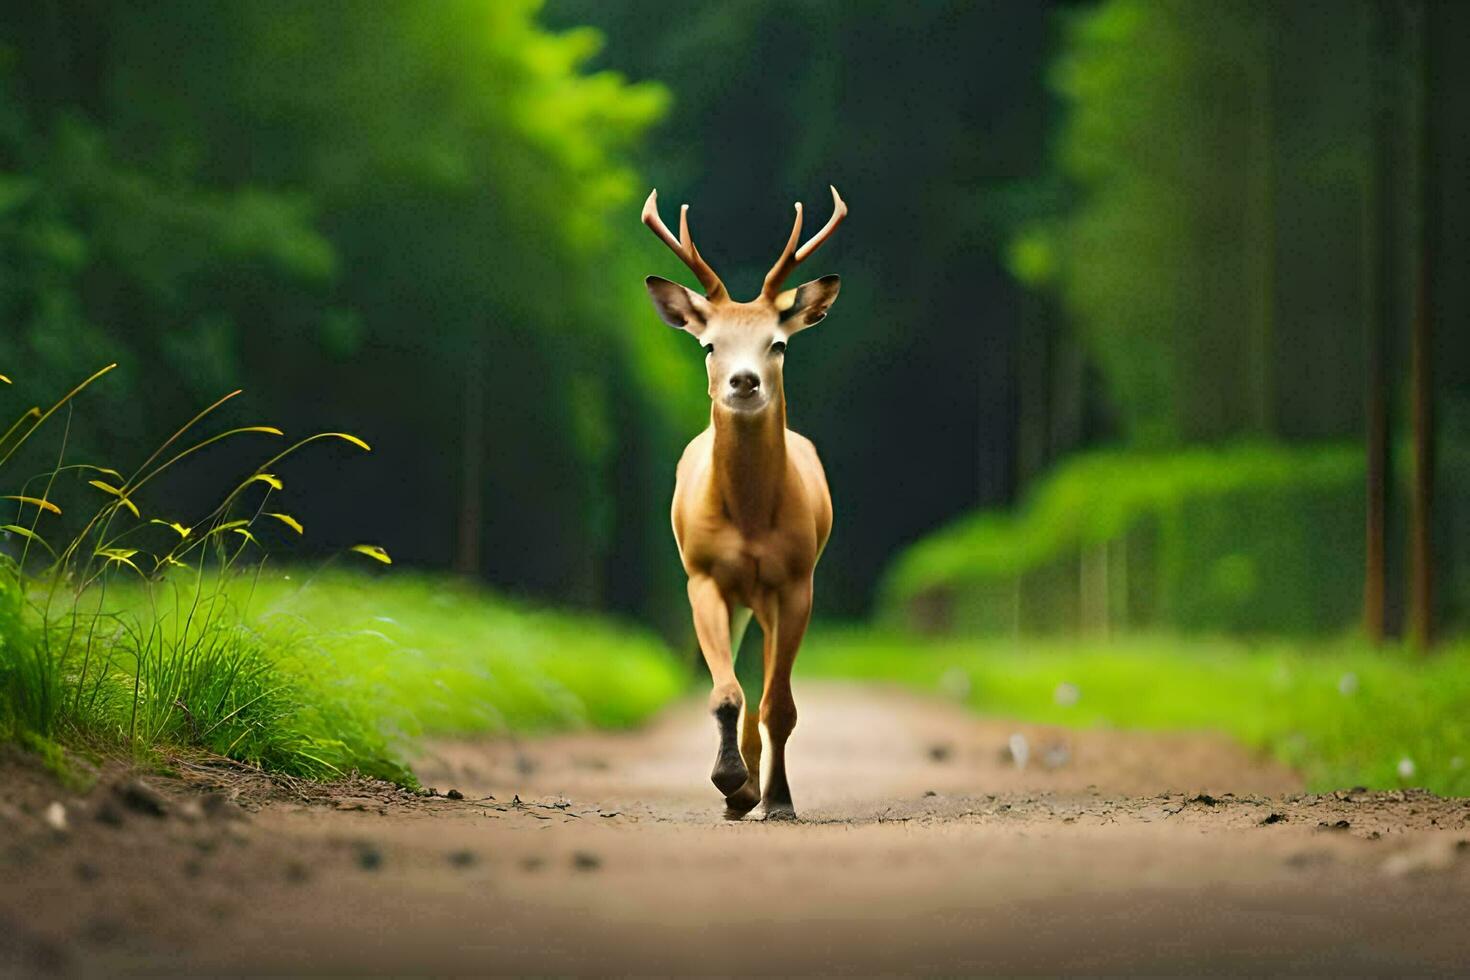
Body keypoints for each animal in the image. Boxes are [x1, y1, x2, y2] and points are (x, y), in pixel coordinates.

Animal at [637, 183, 846, 822]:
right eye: (710, 345)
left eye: (777, 344)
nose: (745, 381)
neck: (751, 520)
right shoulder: (703, 575)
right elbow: (724, 693)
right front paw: (731, 783)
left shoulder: (798, 580)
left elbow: (780, 705)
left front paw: (776, 798)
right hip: (735, 597)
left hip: (769, 599)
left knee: (768, 692)